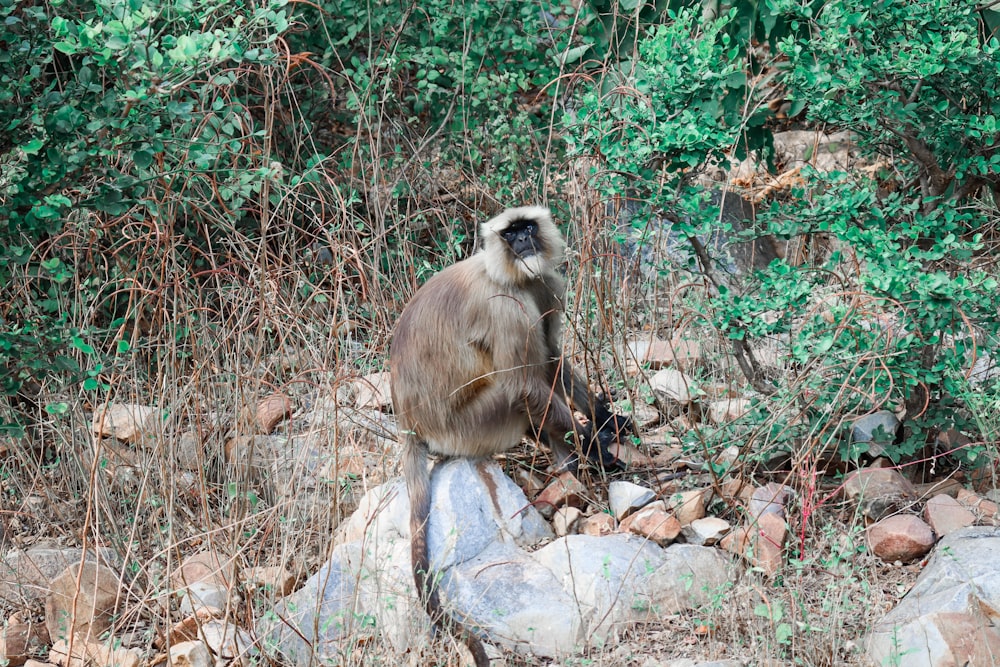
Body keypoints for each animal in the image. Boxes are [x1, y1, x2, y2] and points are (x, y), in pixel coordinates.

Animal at [386, 206, 628, 664]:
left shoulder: (545, 285)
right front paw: (595, 446)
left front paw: (605, 420)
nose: (522, 242)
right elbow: (525, 385)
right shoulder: (506, 308)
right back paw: (571, 459)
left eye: (527, 227)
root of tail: (411, 425)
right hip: (473, 426)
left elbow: (552, 359)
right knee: (516, 390)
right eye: (509, 233)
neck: (509, 275)